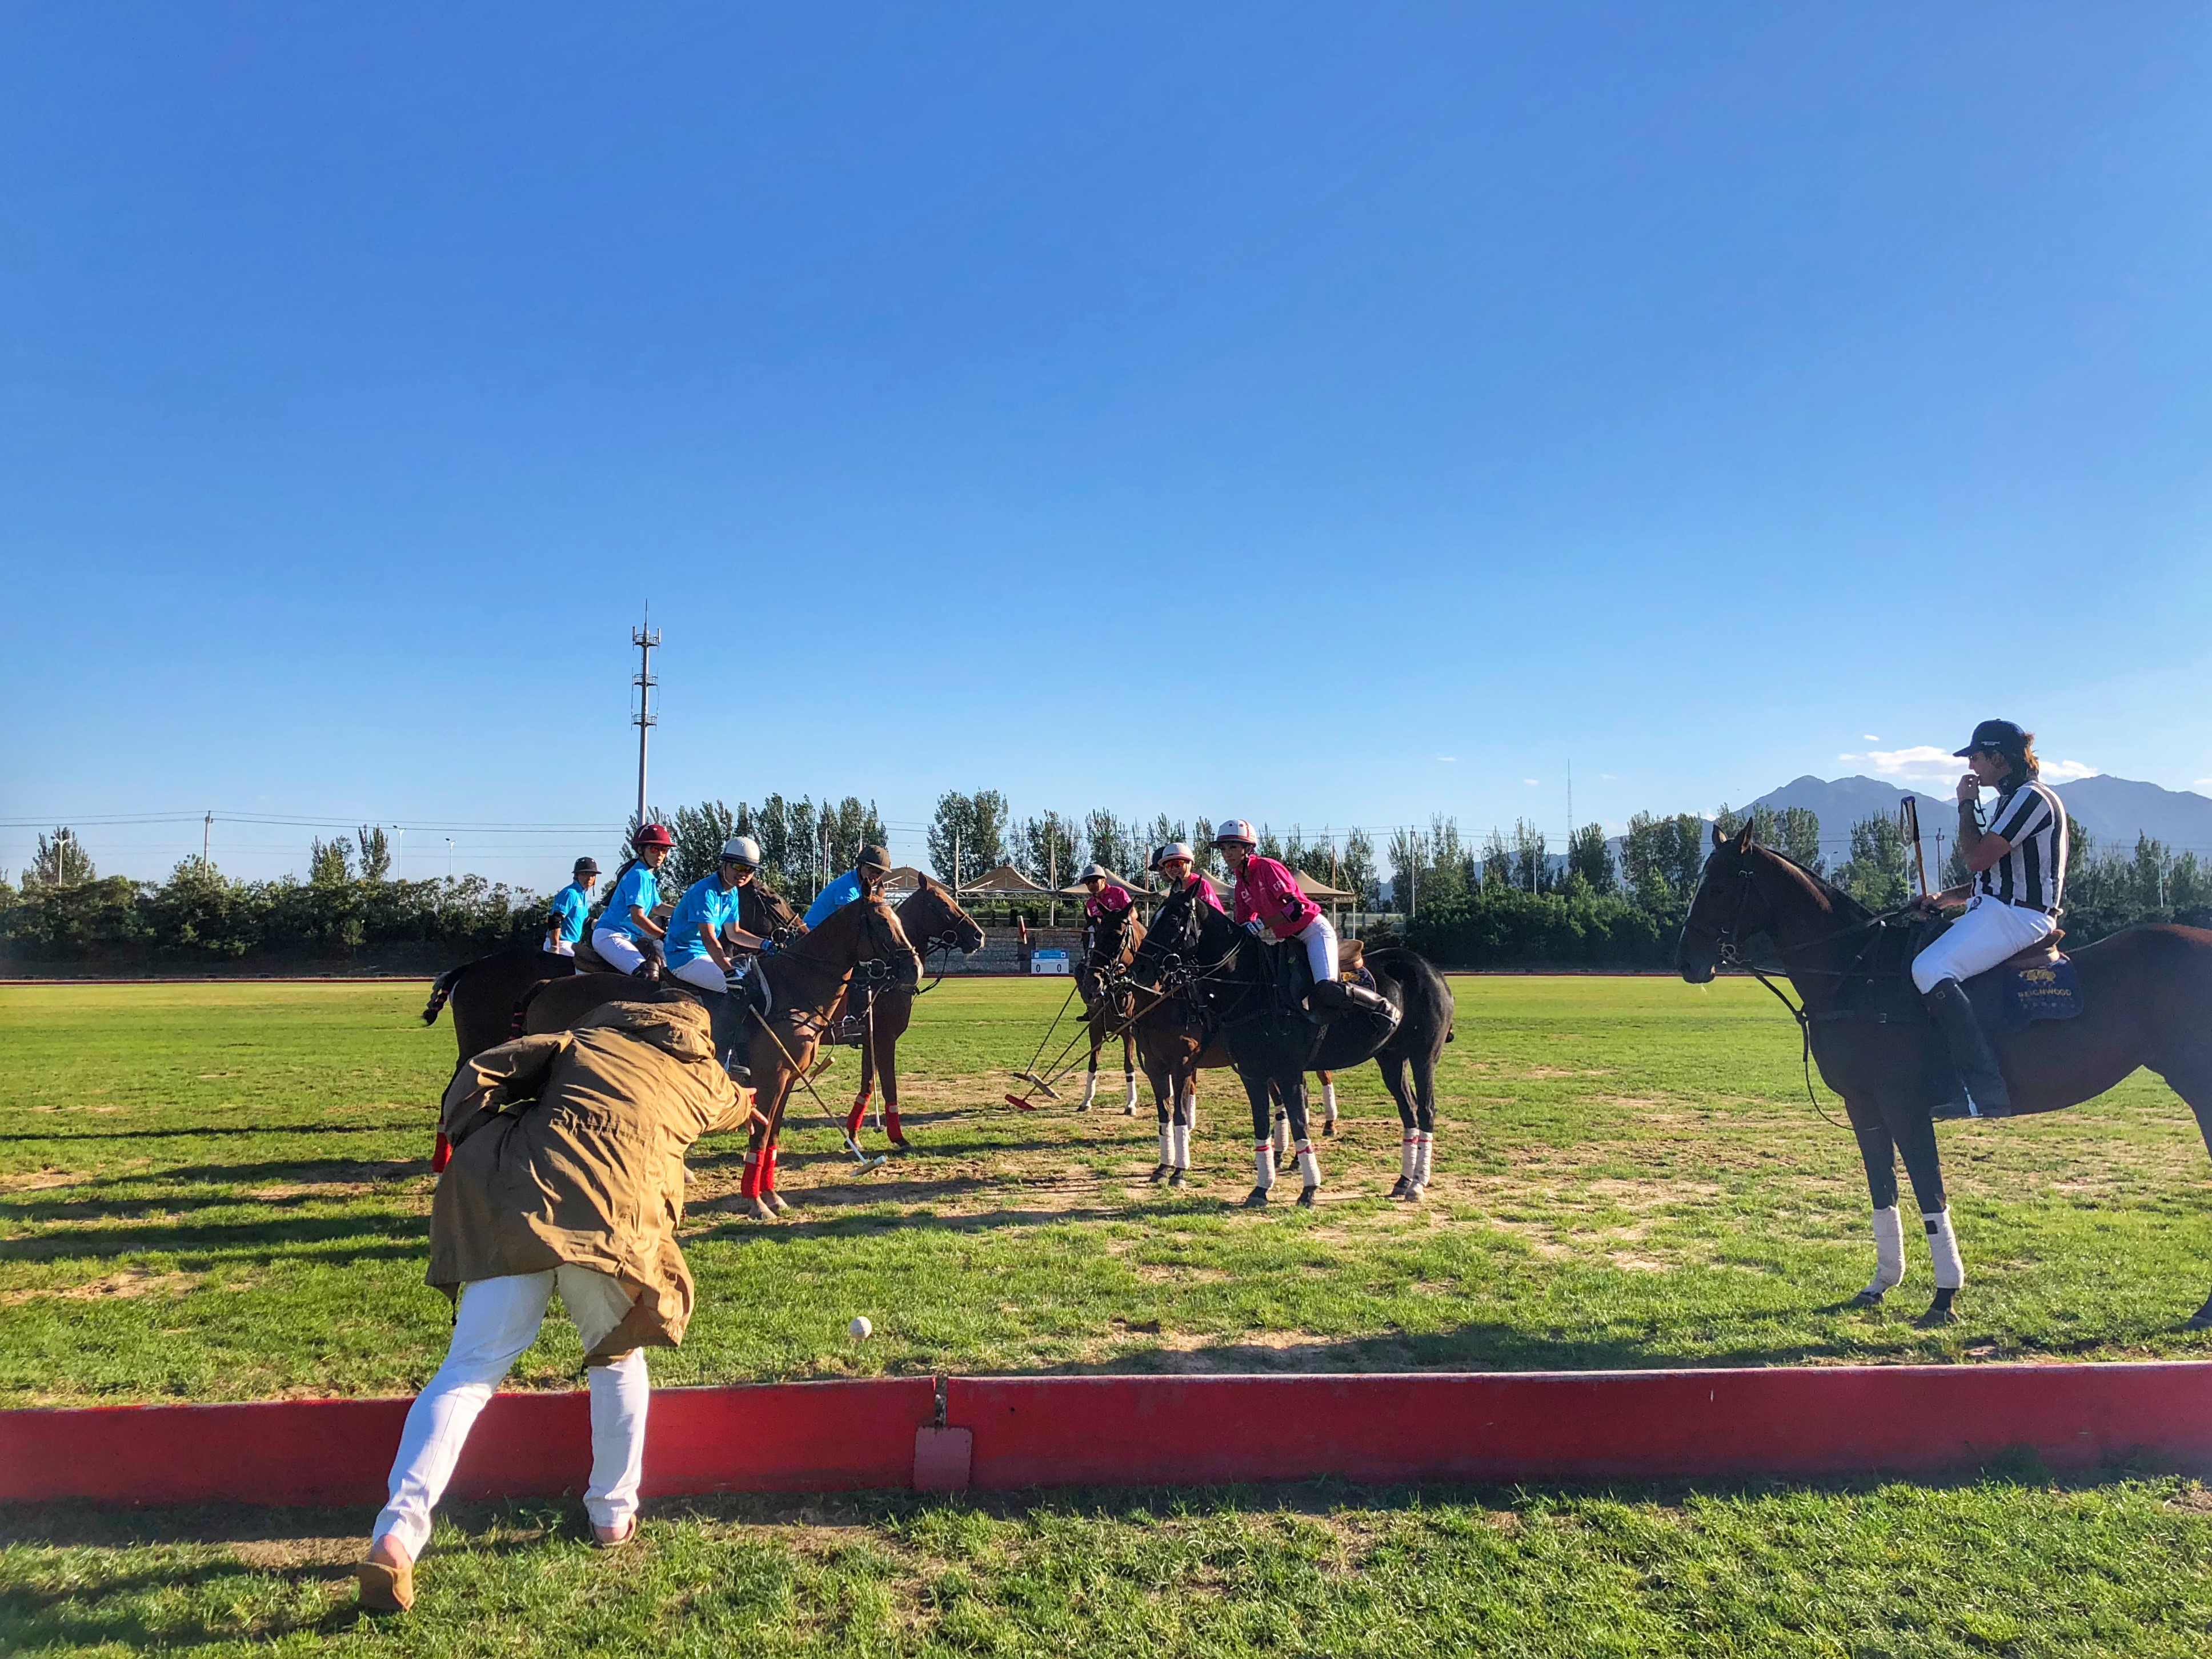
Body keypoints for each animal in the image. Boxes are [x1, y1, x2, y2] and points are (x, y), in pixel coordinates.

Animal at [836, 884, 986, 1159]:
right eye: (942, 905)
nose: (979, 936)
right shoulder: (885, 1039)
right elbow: (889, 1087)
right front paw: (898, 1137)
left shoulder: (870, 1041)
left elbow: (867, 1086)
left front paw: (853, 1136)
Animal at [1123, 884, 1451, 1212]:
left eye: (1173, 919)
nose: (1139, 969)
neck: (1251, 986)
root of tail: (1433, 970)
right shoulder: (1251, 1073)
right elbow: (1261, 1124)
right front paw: (1260, 1188)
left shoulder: (1287, 1071)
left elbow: (1299, 1123)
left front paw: (1309, 1190)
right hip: (1391, 1058)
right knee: (1409, 1109)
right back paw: (1403, 1181)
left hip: (1424, 1057)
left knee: (1426, 1109)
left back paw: (1418, 1183)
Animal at [1672, 827, 2212, 1336]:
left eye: (1719, 885)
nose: (1687, 964)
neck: (1857, 974)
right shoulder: (1863, 1106)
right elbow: (1883, 1192)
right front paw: (1879, 1285)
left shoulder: (1903, 1105)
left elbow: (1930, 1194)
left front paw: (1944, 1298)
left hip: (2196, 1082)